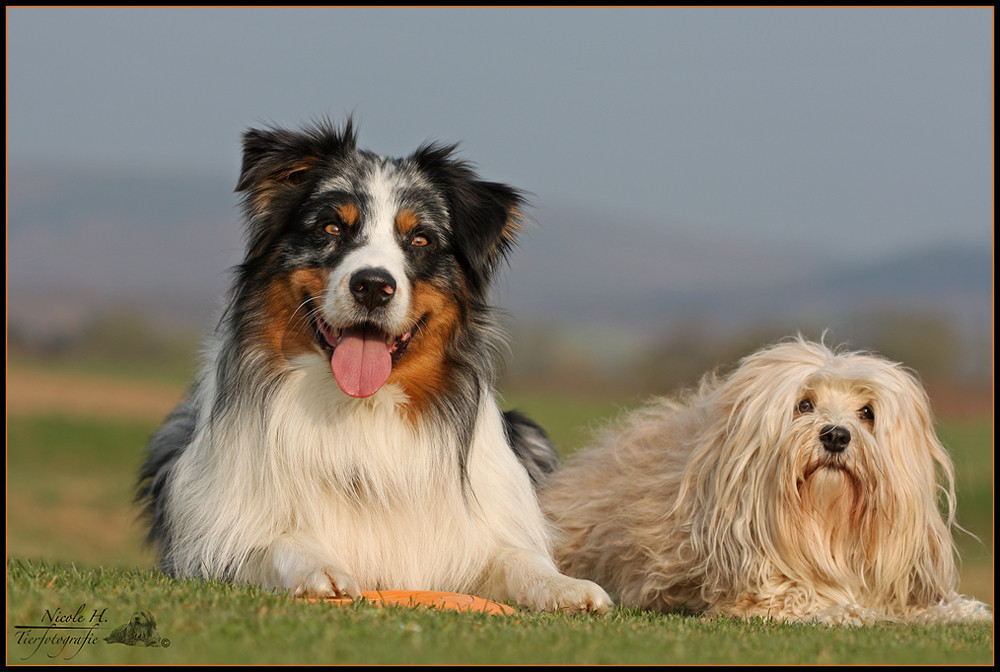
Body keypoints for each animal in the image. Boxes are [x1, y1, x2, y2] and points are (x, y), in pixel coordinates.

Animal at [548, 338, 992, 628]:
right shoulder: (752, 589)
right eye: (804, 404)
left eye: (867, 412)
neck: (827, 528)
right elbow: (795, 598)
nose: (836, 435)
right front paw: (845, 611)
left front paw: (960, 612)